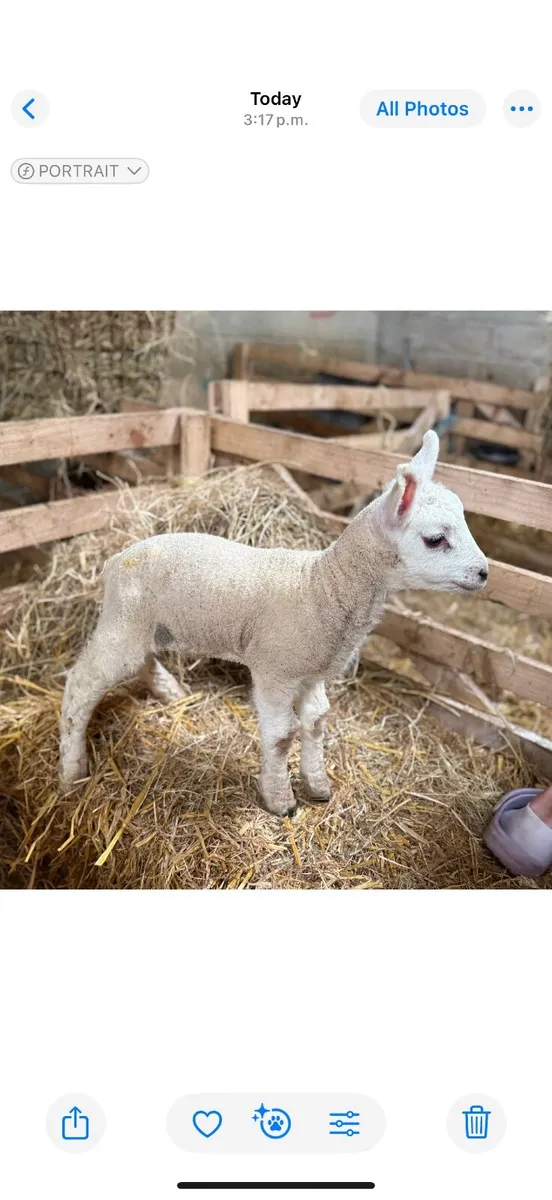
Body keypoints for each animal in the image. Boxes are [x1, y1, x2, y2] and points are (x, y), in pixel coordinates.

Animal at [59, 431, 488, 815]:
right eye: (435, 539)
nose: (485, 573)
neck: (323, 587)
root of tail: (115, 560)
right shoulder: (276, 672)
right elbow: (282, 736)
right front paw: (280, 800)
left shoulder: (311, 672)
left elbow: (317, 721)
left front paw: (317, 785)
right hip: (123, 621)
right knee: (81, 684)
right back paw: (71, 769)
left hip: (145, 625)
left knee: (143, 660)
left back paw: (170, 691)